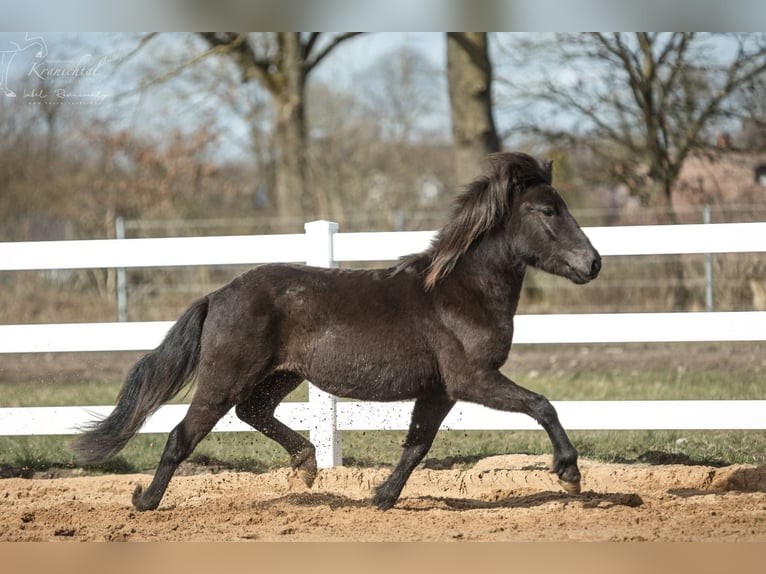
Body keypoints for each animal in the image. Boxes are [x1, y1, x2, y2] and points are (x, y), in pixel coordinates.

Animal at [72, 151, 601, 511]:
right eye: (547, 211)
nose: (593, 263)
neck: (459, 291)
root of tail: (217, 296)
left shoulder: (440, 390)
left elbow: (417, 445)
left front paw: (381, 496)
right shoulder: (473, 379)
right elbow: (542, 405)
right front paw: (569, 474)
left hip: (280, 375)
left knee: (253, 412)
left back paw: (307, 466)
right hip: (224, 378)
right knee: (183, 434)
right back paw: (145, 501)